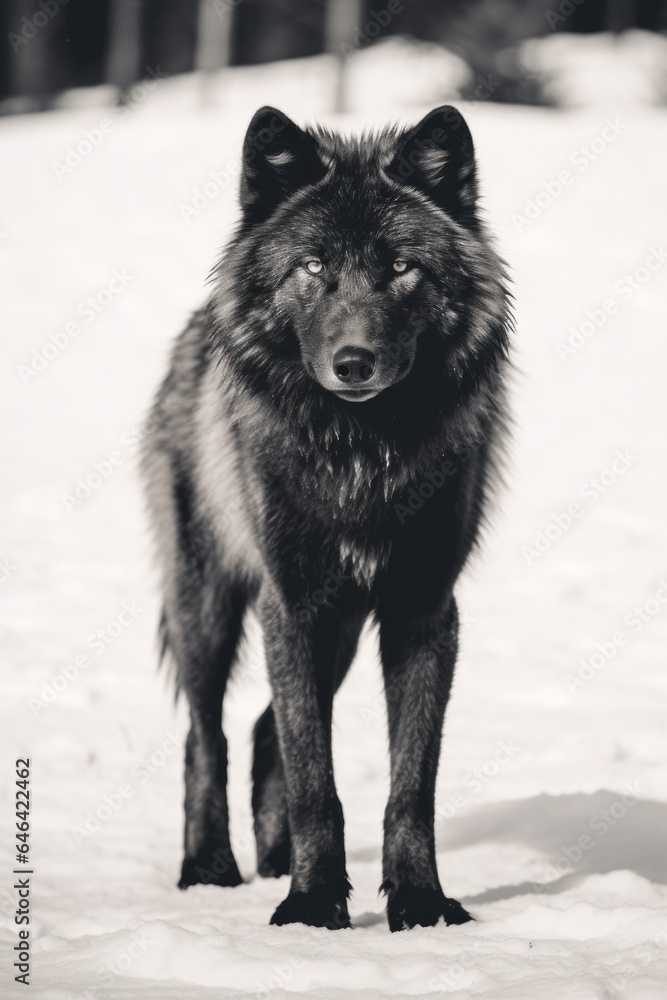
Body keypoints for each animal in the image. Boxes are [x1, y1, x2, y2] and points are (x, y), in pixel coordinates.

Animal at [142, 103, 512, 931]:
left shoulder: (421, 610)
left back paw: (274, 859)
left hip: (336, 633)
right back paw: (210, 869)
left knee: (259, 733)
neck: (361, 454)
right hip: (210, 607)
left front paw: (418, 902)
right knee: (206, 735)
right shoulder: (294, 604)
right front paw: (313, 907)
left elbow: (410, 784)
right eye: (312, 268)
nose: (353, 362)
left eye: (402, 268)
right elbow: (316, 778)